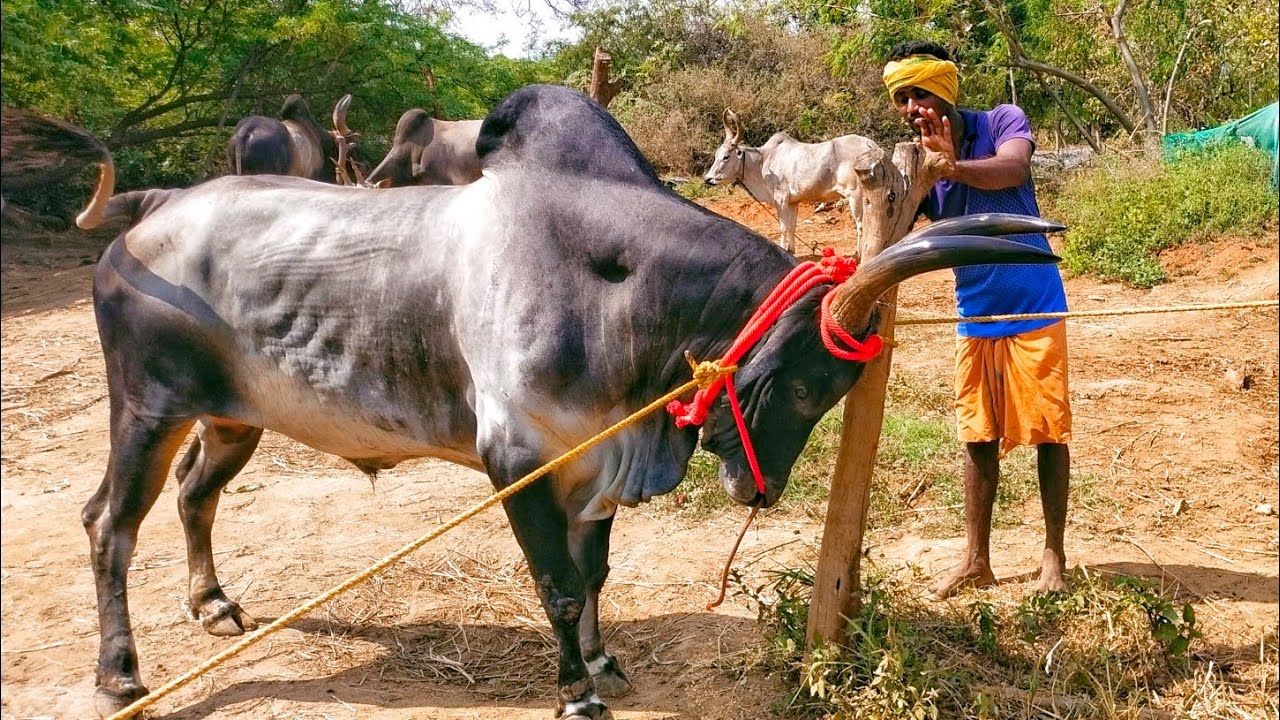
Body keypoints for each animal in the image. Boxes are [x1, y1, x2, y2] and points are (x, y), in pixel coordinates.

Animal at [704, 108, 876, 255]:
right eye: (716, 155)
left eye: (726, 156)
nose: (708, 179)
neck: (763, 162)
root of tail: (870, 145)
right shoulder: (793, 202)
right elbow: (792, 227)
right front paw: (791, 249)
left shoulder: (781, 198)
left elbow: (783, 227)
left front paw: (782, 248)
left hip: (855, 195)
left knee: (861, 225)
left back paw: (858, 255)